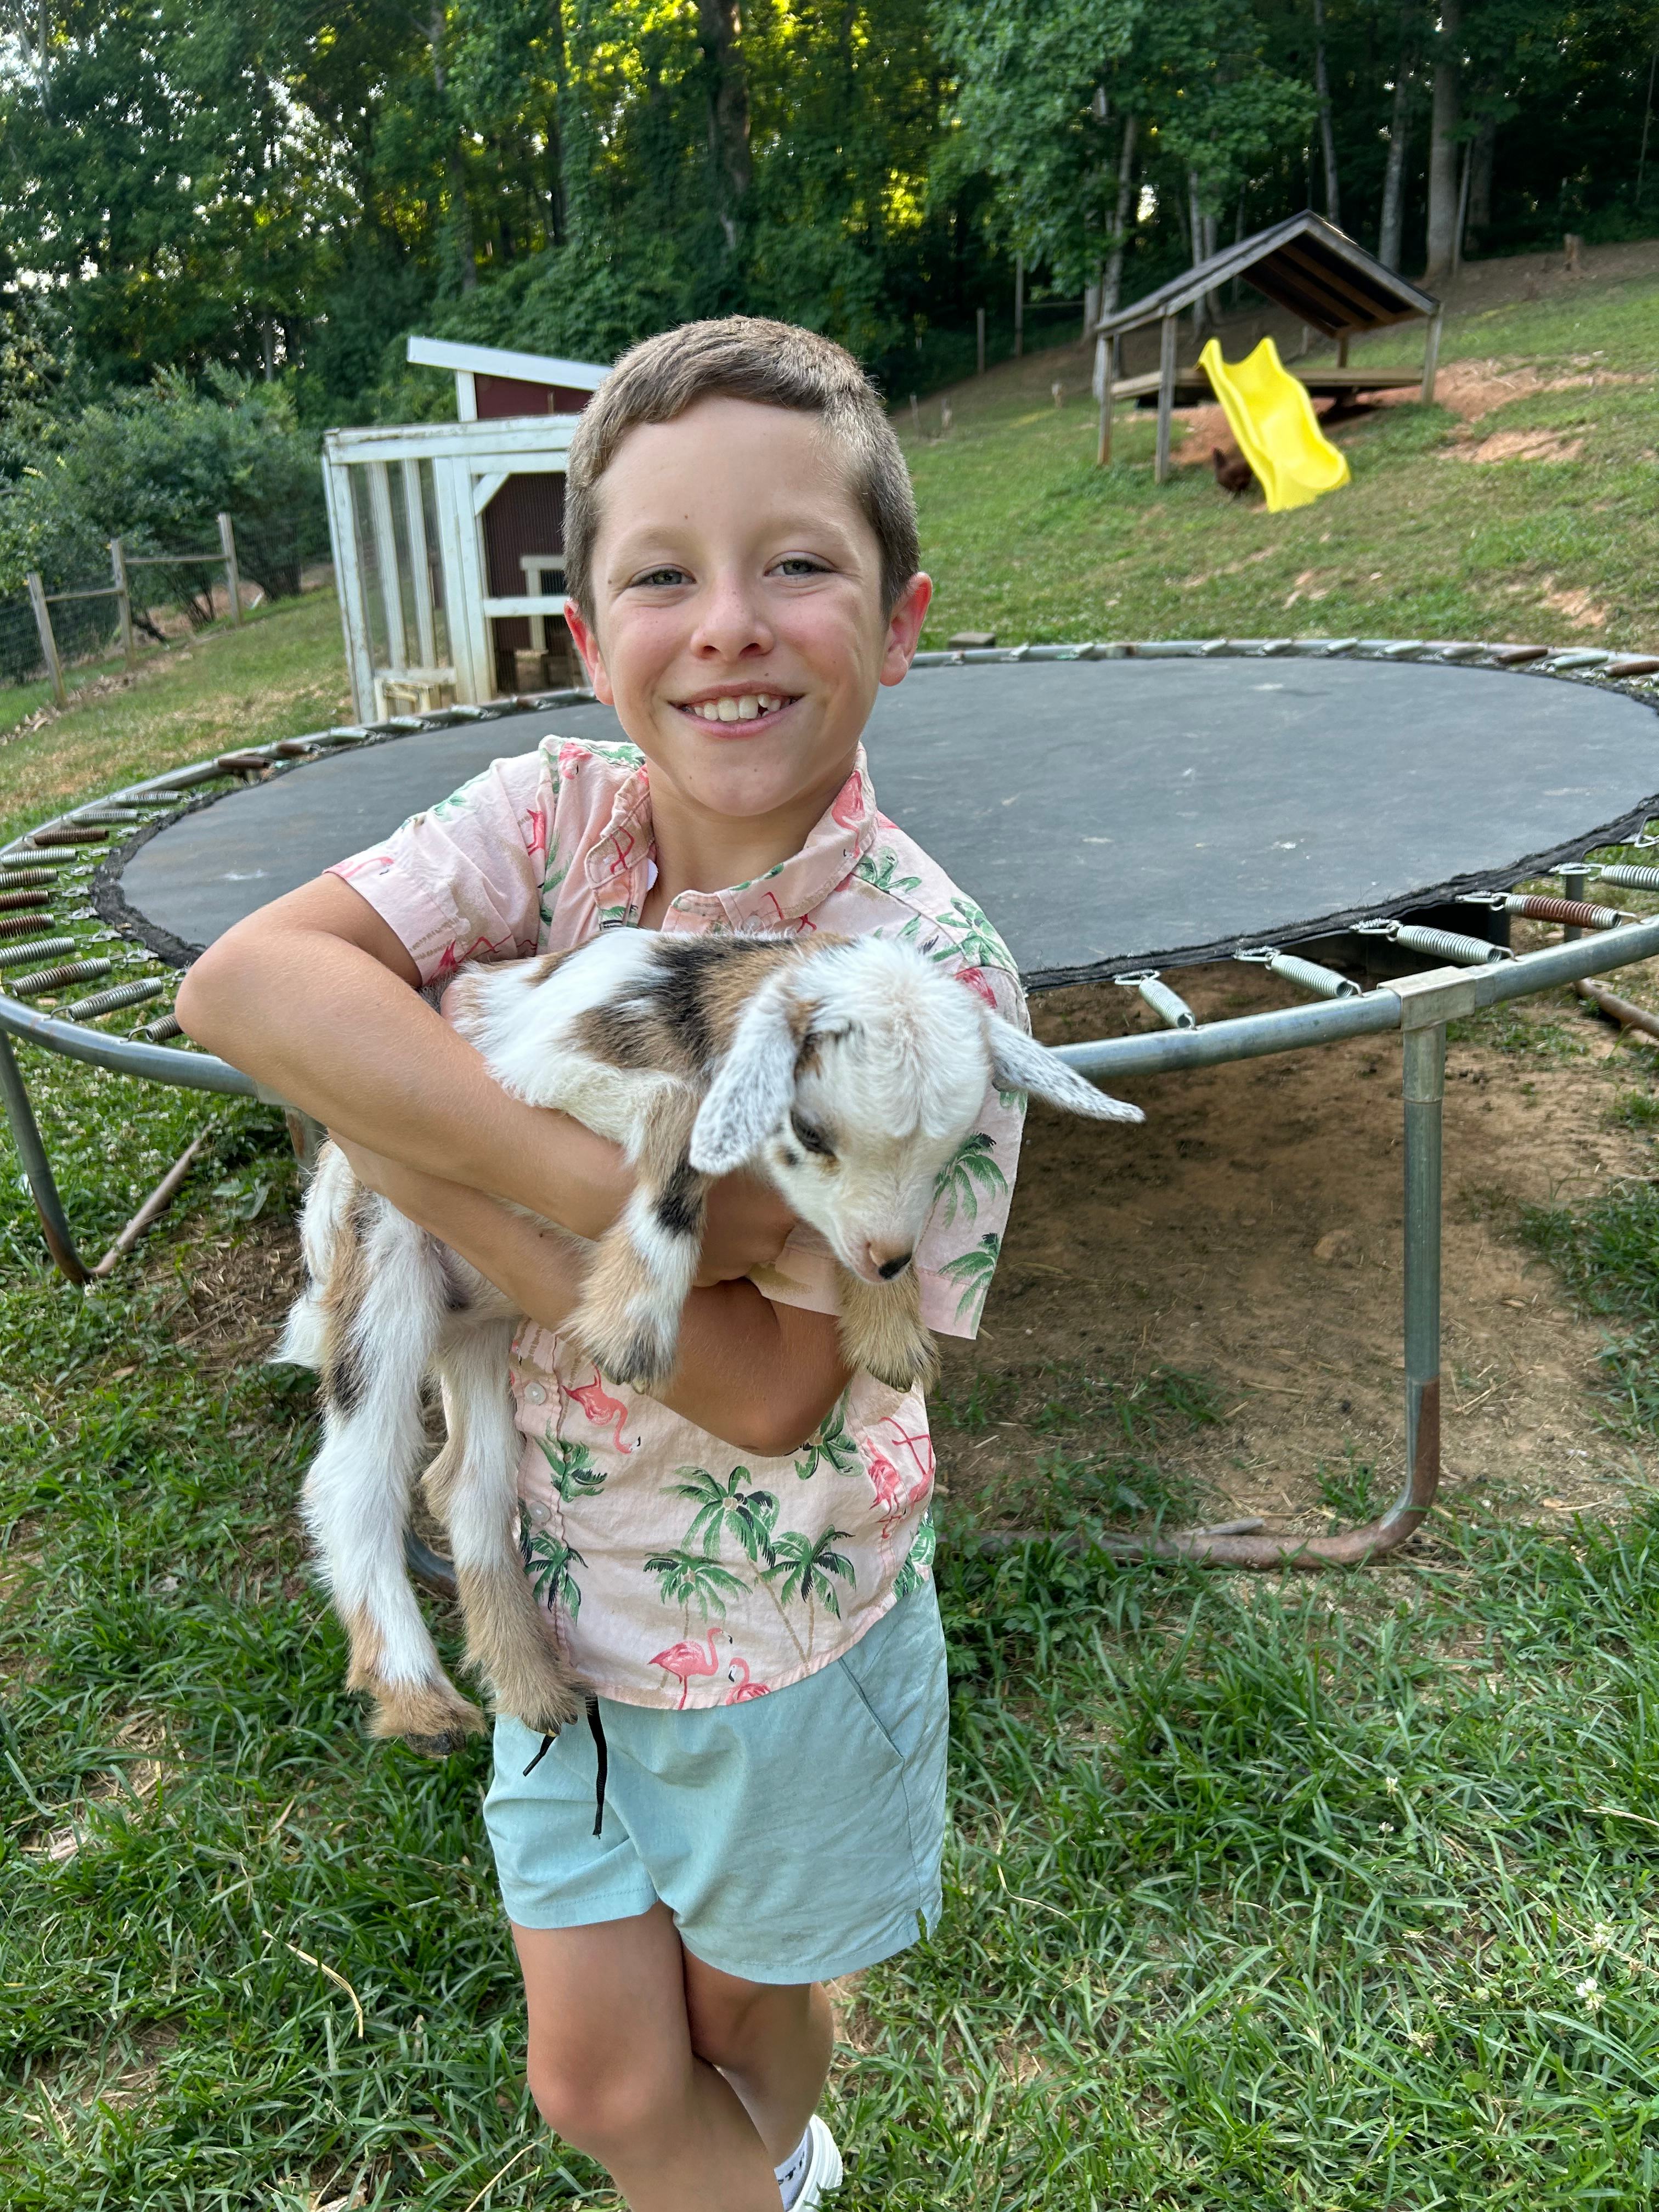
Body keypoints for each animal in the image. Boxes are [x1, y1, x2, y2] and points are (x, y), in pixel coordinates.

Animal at [280, 929, 1143, 1753]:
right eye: (809, 1132)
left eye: (954, 1145)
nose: (887, 1260)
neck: (680, 1001)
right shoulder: (531, 1077)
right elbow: (676, 1111)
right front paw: (631, 1323)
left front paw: (889, 1326)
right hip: (382, 1253)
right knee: (351, 1479)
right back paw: (418, 1701)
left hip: (485, 1323)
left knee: (465, 1483)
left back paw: (531, 1688)